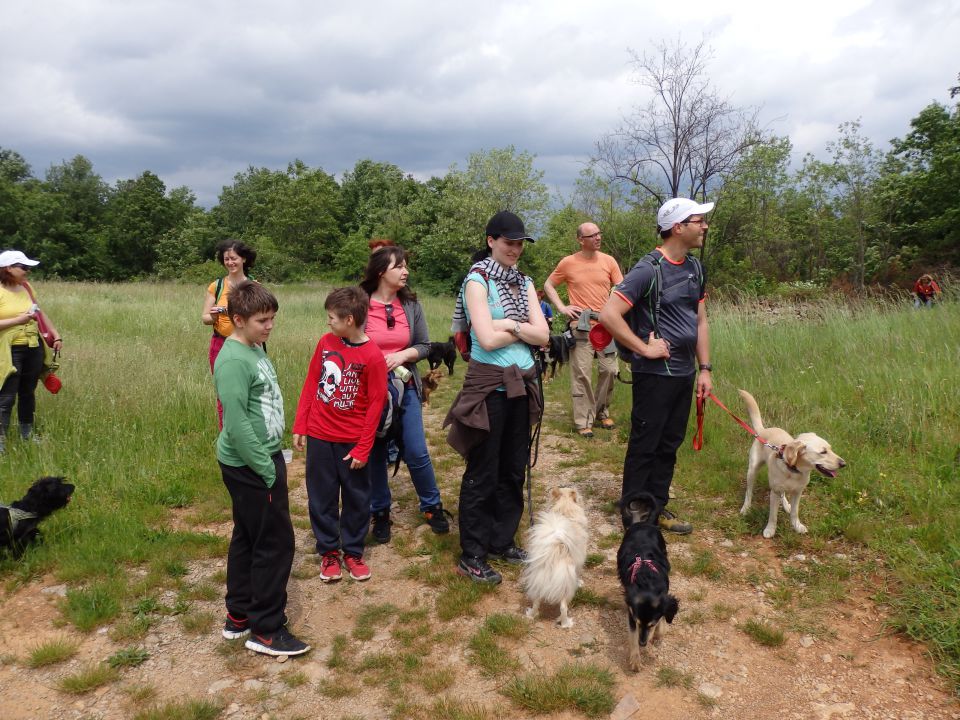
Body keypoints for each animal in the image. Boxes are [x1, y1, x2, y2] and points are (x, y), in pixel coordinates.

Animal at [520, 486, 588, 628]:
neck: (565, 508)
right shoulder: (579, 562)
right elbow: (579, 573)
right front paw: (579, 582)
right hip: (565, 587)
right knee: (563, 608)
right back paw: (566, 623)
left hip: (538, 580)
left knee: (536, 601)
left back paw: (531, 614)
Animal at [620, 492, 680, 672]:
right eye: (639, 623)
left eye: (651, 624)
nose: (643, 643)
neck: (647, 582)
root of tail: (644, 523)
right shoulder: (632, 614)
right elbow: (632, 636)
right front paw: (635, 659)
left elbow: (662, 621)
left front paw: (658, 634)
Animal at [740, 390, 844, 536]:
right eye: (823, 452)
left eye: (830, 448)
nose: (843, 463)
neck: (795, 471)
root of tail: (763, 430)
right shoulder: (774, 492)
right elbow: (773, 515)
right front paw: (770, 530)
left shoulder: (798, 492)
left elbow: (795, 512)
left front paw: (797, 526)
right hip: (752, 470)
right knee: (749, 491)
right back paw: (746, 508)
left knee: (783, 495)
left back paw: (786, 505)